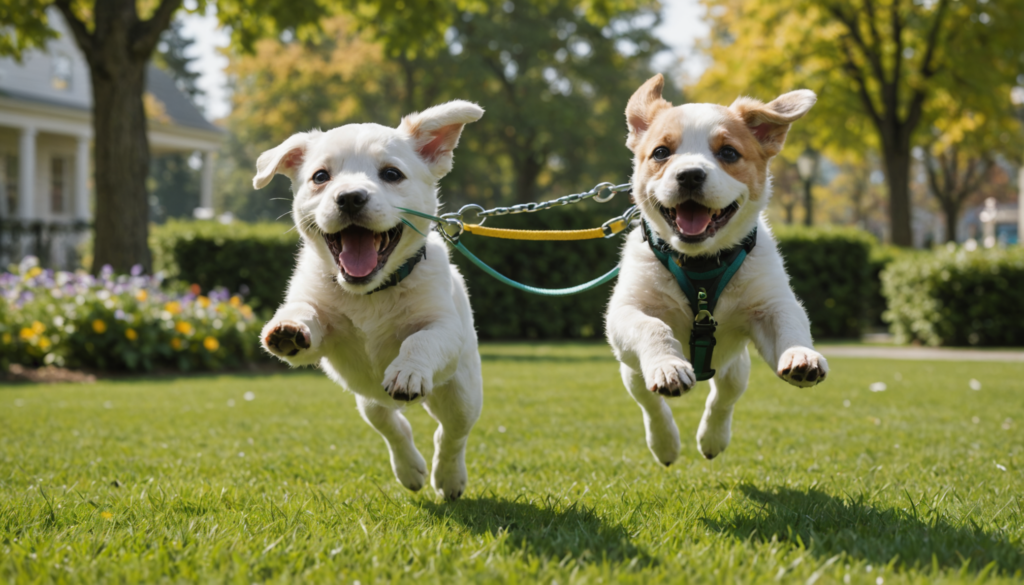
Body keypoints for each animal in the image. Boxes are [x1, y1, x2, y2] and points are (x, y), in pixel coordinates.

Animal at [251, 100, 483, 499]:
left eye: (391, 174)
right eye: (320, 176)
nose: (349, 197)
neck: (369, 293)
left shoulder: (444, 326)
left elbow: (421, 340)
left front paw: (408, 370)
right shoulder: (324, 329)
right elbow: (305, 313)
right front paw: (289, 327)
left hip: (462, 392)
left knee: (451, 434)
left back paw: (448, 478)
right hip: (367, 398)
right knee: (391, 424)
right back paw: (410, 469)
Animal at [602, 74, 827, 467]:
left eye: (729, 153)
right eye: (661, 152)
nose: (690, 175)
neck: (701, 262)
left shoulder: (770, 305)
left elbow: (790, 322)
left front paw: (801, 355)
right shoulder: (625, 312)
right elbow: (653, 326)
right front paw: (668, 365)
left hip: (735, 366)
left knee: (724, 397)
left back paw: (712, 438)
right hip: (631, 371)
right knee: (650, 404)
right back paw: (665, 443)